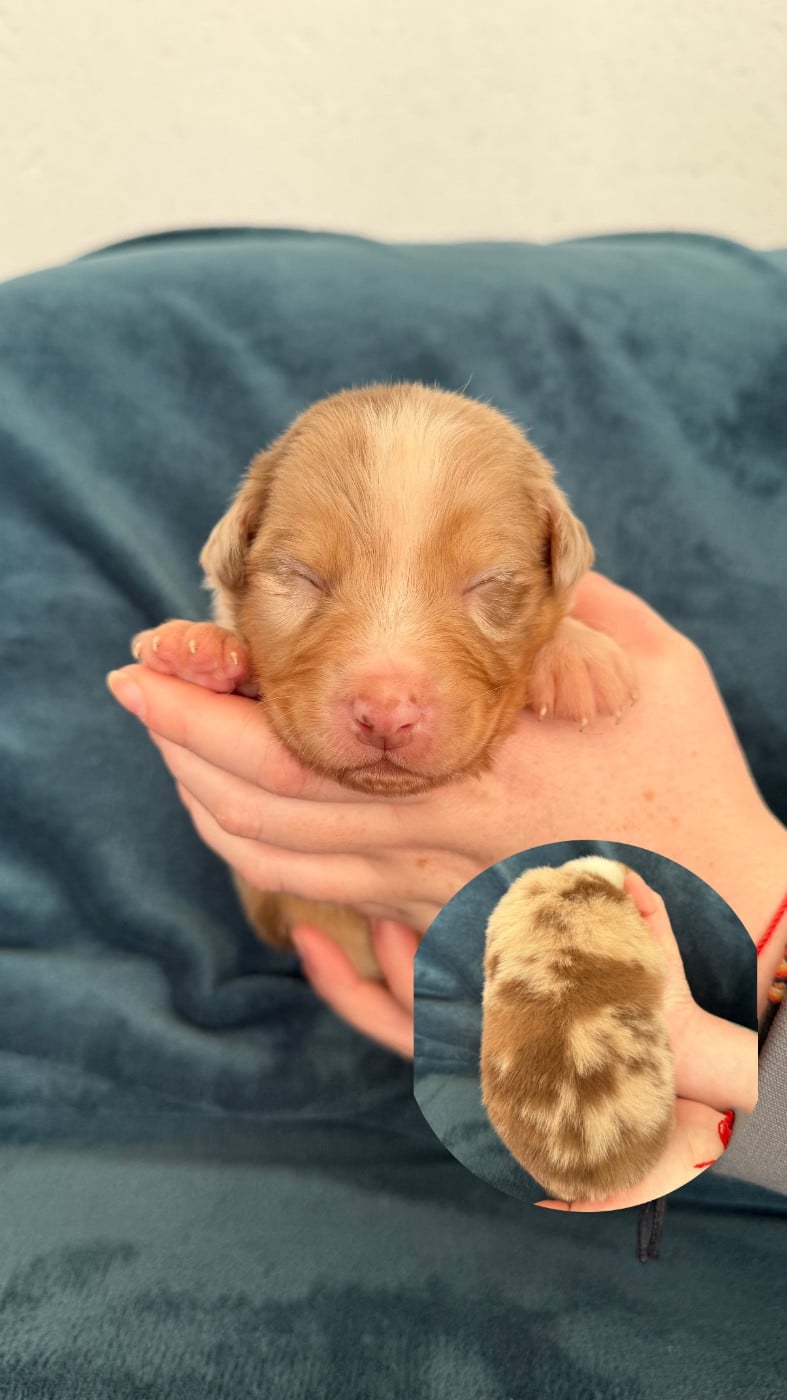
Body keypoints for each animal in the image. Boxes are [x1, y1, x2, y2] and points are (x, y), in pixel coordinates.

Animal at [132, 383, 636, 977]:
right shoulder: (270, 902)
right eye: (303, 577)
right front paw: (201, 650)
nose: (387, 713)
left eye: (489, 582)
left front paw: (579, 657)